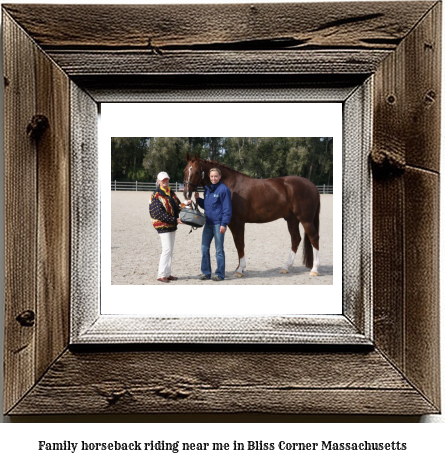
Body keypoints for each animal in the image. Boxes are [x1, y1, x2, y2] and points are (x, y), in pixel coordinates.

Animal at [182, 153, 320, 276]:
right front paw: (239, 267)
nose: (187, 194)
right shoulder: (231, 223)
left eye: (196, 172)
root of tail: (312, 186)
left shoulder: (238, 222)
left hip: (305, 219)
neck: (231, 185)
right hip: (292, 219)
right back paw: (285, 267)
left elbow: (240, 243)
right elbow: (237, 243)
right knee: (296, 239)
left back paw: (314, 270)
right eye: (185, 170)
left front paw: (240, 269)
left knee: (313, 238)